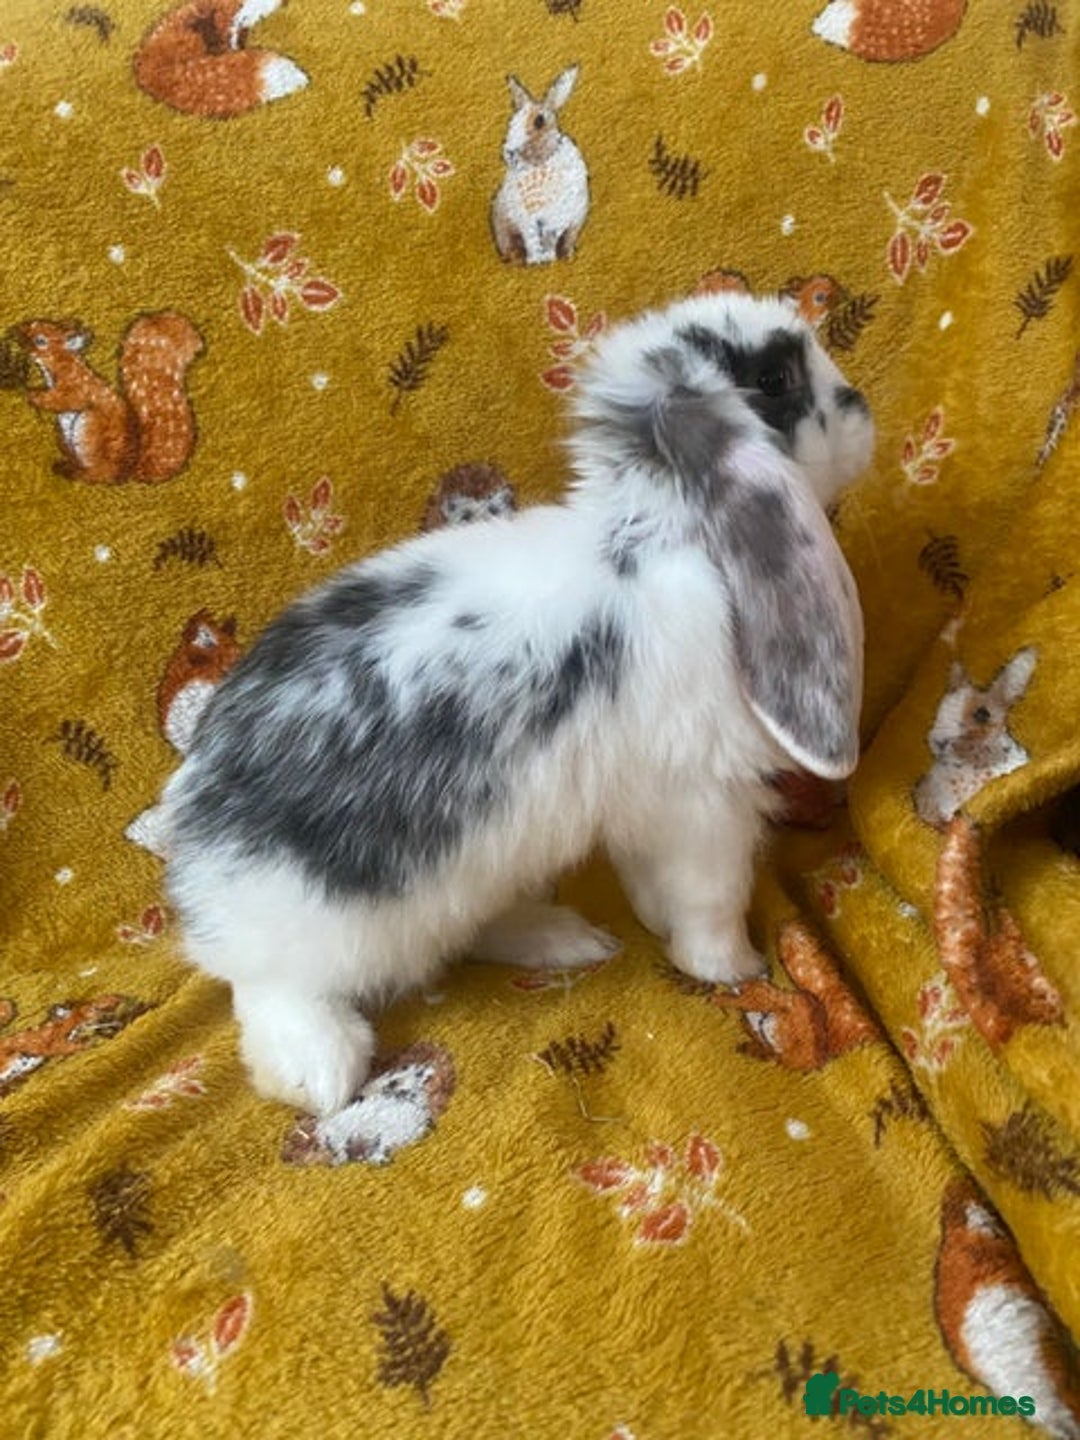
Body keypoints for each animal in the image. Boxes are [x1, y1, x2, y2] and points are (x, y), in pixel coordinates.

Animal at [162, 290, 874, 1115]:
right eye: (776, 378)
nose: (861, 408)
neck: (659, 541)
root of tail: (196, 861)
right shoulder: (703, 803)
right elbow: (711, 896)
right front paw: (732, 967)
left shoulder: (646, 801)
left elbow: (650, 879)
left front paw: (651, 923)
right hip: (330, 930)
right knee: (267, 989)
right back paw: (323, 1070)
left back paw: (567, 938)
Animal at [490, 66, 590, 265]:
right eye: (511, 121)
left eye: (539, 121)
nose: (509, 153)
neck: (539, 163)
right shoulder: (526, 217)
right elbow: (531, 239)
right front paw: (535, 260)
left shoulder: (557, 216)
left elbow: (549, 238)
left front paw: (548, 258)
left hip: (576, 222)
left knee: (567, 239)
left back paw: (567, 255)